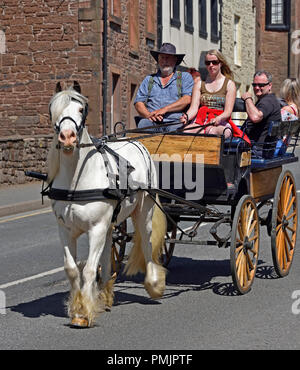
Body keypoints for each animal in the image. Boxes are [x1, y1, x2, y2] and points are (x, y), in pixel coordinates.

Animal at [47, 81, 166, 326]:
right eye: (53, 110)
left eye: (81, 109)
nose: (67, 137)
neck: (76, 179)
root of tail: (136, 142)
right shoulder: (65, 229)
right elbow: (72, 269)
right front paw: (78, 307)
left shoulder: (96, 228)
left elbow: (89, 270)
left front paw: (84, 312)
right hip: (110, 223)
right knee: (109, 249)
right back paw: (105, 293)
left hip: (144, 210)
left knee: (147, 242)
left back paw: (153, 284)